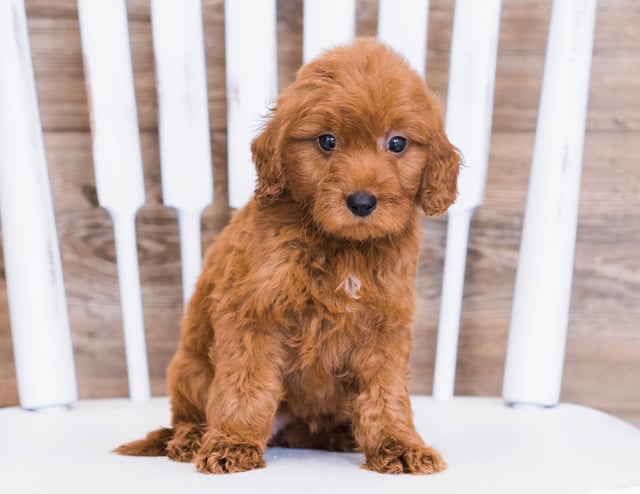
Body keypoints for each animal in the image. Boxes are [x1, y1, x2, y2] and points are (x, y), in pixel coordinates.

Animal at [117, 37, 458, 474]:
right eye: (327, 141)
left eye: (397, 143)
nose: (362, 202)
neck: (341, 245)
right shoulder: (254, 313)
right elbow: (246, 385)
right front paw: (232, 442)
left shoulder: (385, 326)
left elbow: (387, 394)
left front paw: (398, 445)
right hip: (190, 371)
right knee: (186, 417)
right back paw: (191, 438)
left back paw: (341, 435)